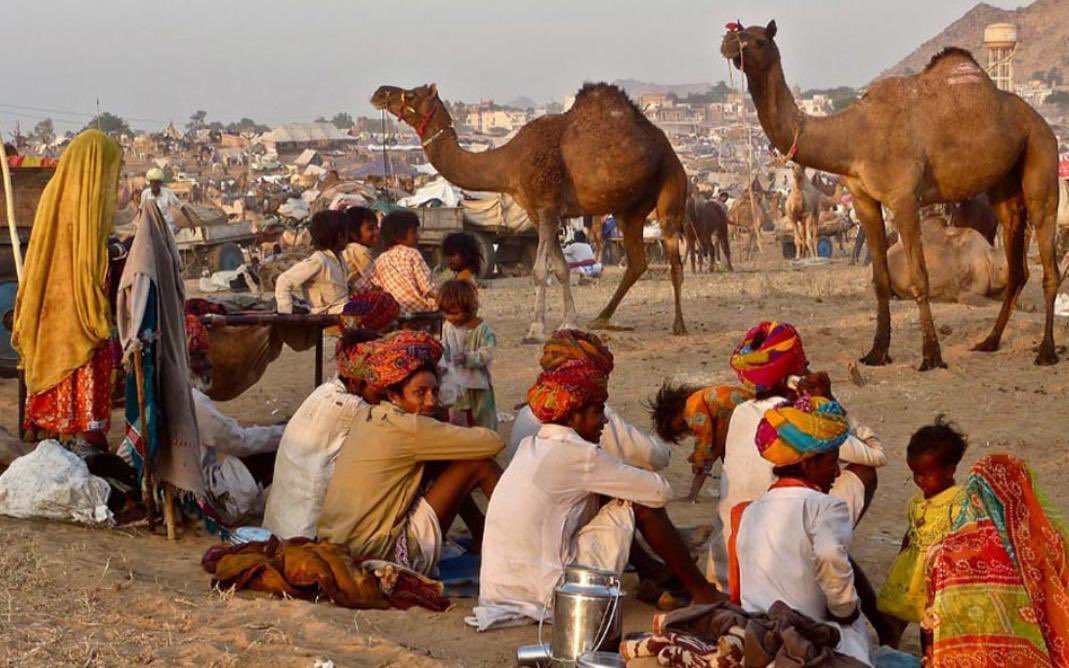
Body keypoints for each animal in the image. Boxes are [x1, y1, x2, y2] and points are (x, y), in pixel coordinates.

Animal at [372, 83, 689, 339]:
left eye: (412, 93)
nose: (380, 93)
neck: (509, 162)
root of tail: (666, 145)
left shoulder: (547, 204)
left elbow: (539, 271)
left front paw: (536, 329)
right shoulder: (540, 212)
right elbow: (561, 269)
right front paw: (570, 322)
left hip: (671, 180)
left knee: (673, 254)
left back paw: (678, 325)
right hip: (629, 208)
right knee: (637, 262)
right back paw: (600, 318)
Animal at [723, 22, 1060, 369]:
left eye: (759, 40)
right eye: (739, 31)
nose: (729, 42)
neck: (854, 136)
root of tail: (1041, 121)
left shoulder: (904, 198)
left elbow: (920, 277)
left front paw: (931, 356)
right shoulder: (864, 201)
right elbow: (880, 279)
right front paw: (877, 352)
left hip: (1042, 154)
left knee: (1048, 258)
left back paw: (1046, 352)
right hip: (1004, 187)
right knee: (1018, 264)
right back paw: (989, 341)